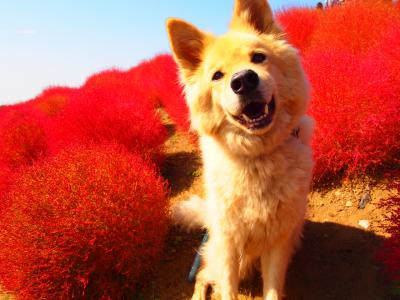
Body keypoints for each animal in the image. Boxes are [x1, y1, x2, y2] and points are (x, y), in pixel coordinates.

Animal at [166, 1, 312, 298]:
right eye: (217, 76)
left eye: (258, 57)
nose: (243, 80)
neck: (257, 157)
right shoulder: (229, 244)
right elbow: (227, 289)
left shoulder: (278, 243)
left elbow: (272, 290)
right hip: (219, 252)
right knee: (202, 275)